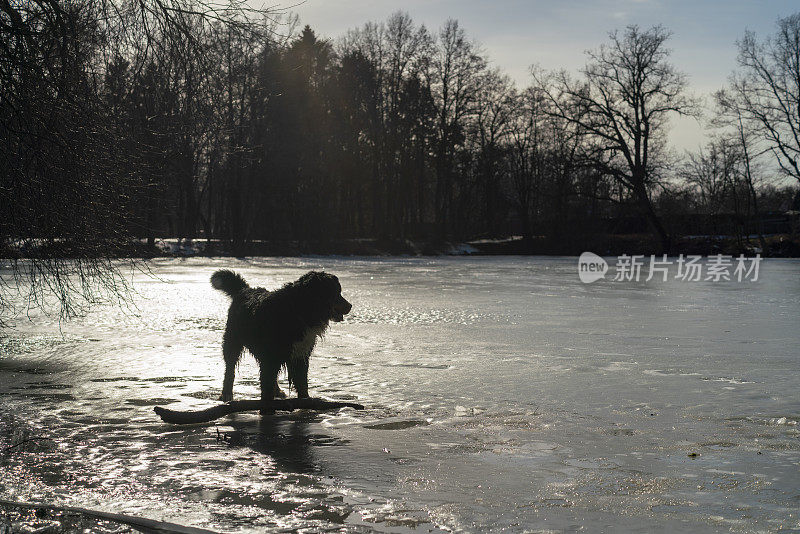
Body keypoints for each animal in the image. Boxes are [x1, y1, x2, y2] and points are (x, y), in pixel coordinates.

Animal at [211, 272, 352, 406]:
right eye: (336, 292)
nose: (350, 306)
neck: (299, 310)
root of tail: (245, 290)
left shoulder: (300, 355)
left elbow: (302, 384)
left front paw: (305, 401)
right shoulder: (272, 354)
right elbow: (267, 385)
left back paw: (277, 391)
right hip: (233, 341)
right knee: (230, 369)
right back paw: (226, 394)